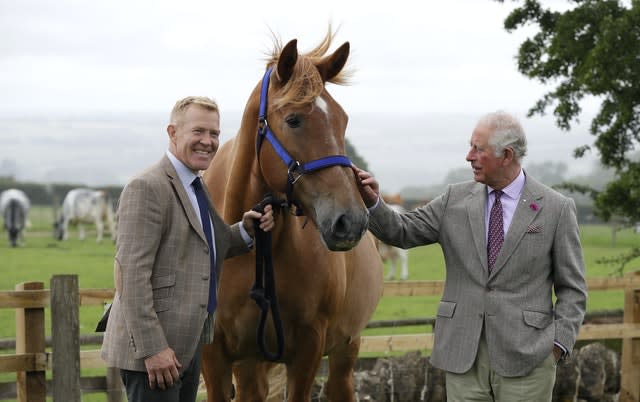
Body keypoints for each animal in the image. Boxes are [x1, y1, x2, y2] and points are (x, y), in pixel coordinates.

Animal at [200, 32, 382, 402]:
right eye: (293, 119)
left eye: (342, 120)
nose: (350, 221)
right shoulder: (215, 356)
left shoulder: (308, 349)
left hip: (345, 349)